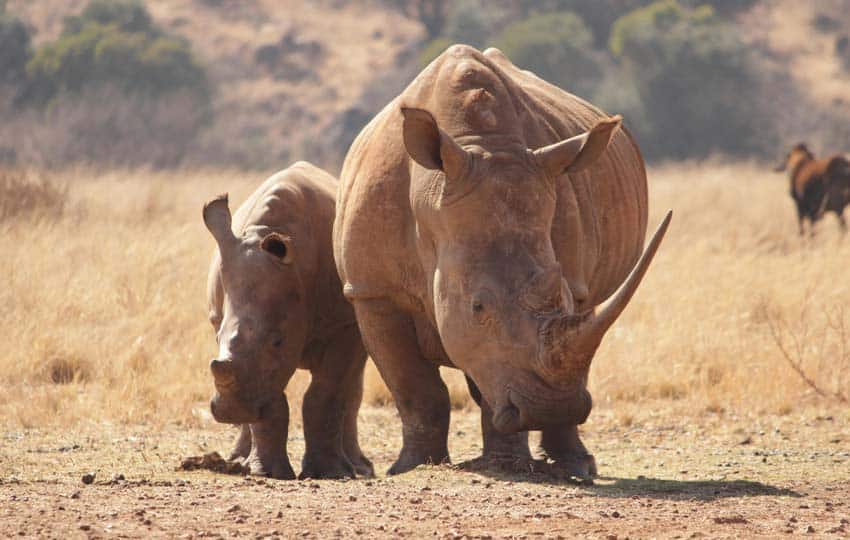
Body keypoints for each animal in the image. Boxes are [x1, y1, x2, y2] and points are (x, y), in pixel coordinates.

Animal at [204, 161, 373, 479]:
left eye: (278, 341)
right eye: (216, 336)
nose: (232, 411)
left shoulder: (343, 325)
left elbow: (326, 393)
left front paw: (330, 473)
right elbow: (269, 397)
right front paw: (266, 473)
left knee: (352, 384)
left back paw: (359, 468)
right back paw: (238, 460)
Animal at [334, 45, 670, 479]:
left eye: (563, 296)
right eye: (478, 306)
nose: (550, 408)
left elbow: (495, 371)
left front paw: (507, 464)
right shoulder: (372, 291)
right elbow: (414, 386)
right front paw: (411, 467)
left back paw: (577, 466)